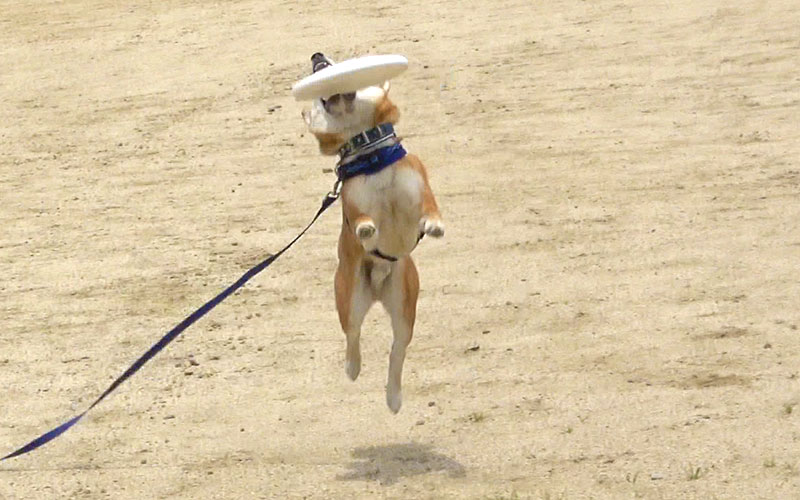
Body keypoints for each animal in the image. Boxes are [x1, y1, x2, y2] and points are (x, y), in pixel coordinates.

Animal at [304, 53, 446, 414]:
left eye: (333, 59)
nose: (317, 56)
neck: (371, 154)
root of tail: (378, 289)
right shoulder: (353, 202)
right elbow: (362, 220)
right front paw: (368, 231)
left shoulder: (419, 186)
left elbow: (429, 208)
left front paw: (434, 226)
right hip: (351, 299)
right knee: (353, 336)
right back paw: (352, 368)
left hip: (405, 308)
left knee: (398, 350)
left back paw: (394, 397)